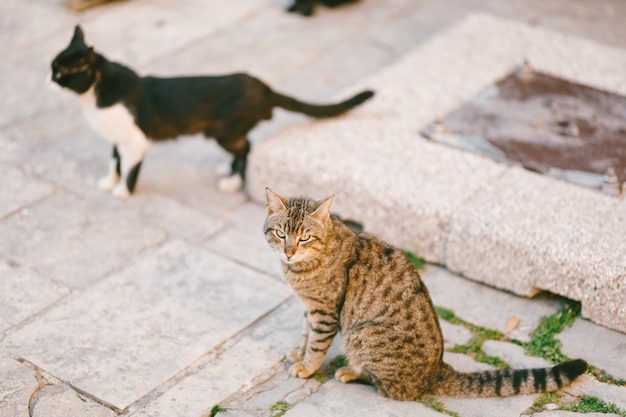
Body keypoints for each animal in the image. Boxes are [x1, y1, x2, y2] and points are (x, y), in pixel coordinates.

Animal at [51, 26, 372, 198]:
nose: (48, 79)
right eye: (52, 66)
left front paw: (123, 191)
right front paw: (109, 182)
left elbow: (130, 165)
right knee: (243, 145)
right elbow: (114, 159)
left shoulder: (135, 139)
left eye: (61, 73)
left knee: (246, 146)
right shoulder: (118, 136)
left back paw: (233, 181)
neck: (94, 96)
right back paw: (227, 170)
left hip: (223, 131)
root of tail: (264, 88)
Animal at [262, 188, 584, 400]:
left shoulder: (325, 312)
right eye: (281, 234)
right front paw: (298, 353)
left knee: (392, 388)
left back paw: (350, 372)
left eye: (304, 237)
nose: (289, 252)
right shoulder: (310, 308)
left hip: (361, 333)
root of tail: (437, 370)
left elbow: (316, 345)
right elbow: (305, 335)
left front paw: (306, 367)